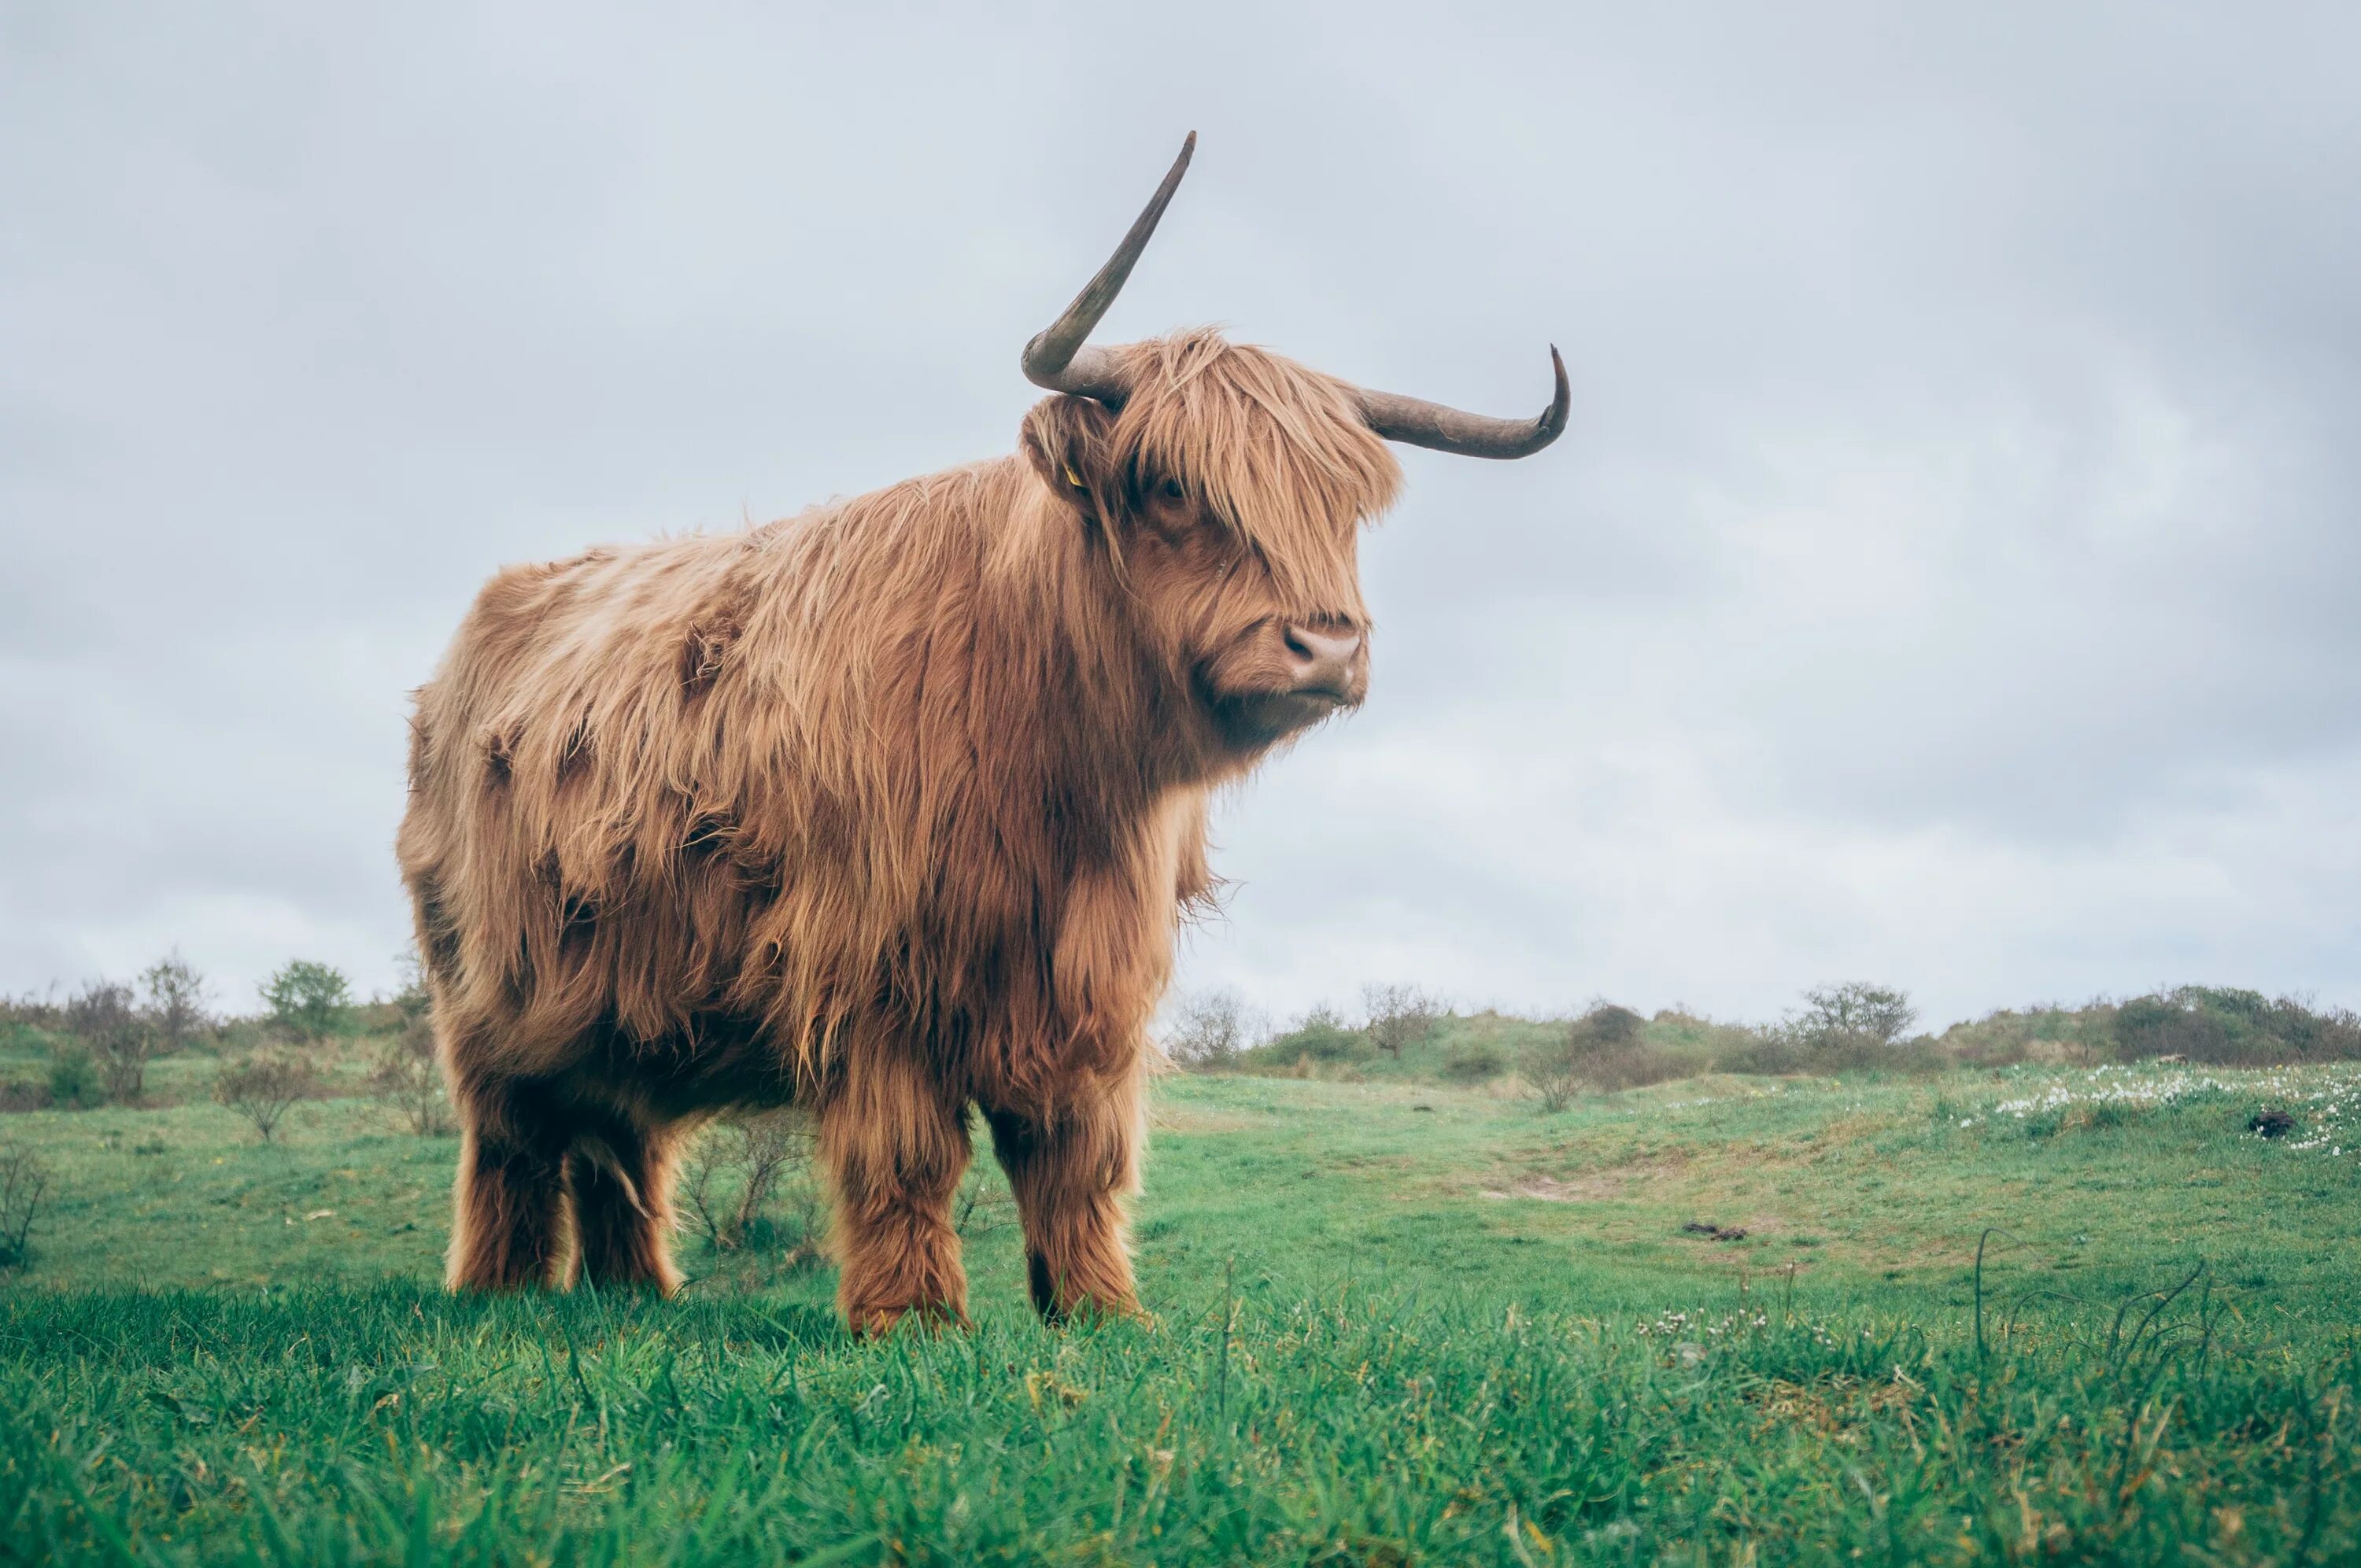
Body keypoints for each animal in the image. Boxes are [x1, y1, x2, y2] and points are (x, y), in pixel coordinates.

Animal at [401, 137, 1568, 1331]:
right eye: (1172, 485)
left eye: (1341, 508)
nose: (1327, 648)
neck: (1060, 774)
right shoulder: (872, 972)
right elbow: (907, 1157)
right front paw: (912, 1319)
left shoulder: (1092, 986)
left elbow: (1077, 1157)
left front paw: (1101, 1311)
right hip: (486, 994)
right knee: (512, 1141)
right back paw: (499, 1292)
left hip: (614, 998)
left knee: (617, 1138)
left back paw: (635, 1293)